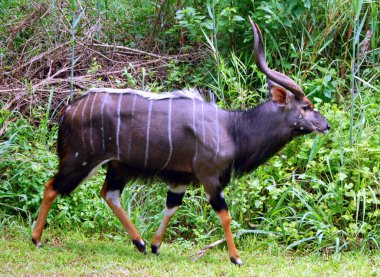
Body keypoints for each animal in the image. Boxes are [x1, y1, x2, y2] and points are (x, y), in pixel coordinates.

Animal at [33, 17, 330, 266]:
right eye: (306, 106)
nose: (326, 126)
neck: (231, 129)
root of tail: (68, 112)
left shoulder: (181, 178)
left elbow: (171, 207)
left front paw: (155, 245)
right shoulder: (209, 176)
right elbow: (225, 214)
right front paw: (235, 258)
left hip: (118, 166)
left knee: (109, 193)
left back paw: (139, 242)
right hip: (81, 160)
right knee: (51, 186)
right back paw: (36, 239)